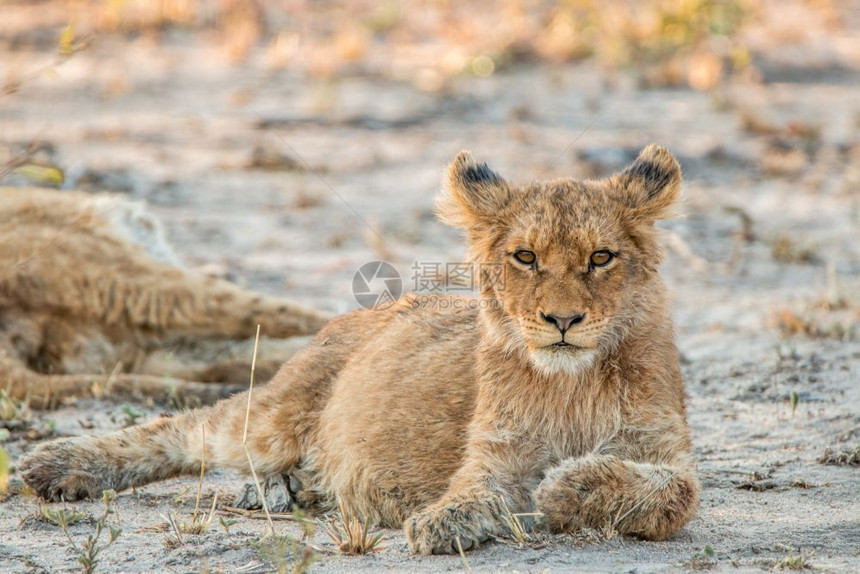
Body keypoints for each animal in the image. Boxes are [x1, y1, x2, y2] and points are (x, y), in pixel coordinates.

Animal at [18, 146, 700, 556]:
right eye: (525, 257)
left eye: (601, 258)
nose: (561, 320)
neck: (569, 381)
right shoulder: (491, 457)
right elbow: (471, 492)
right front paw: (443, 522)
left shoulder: (666, 452)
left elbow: (668, 492)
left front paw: (567, 487)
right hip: (275, 416)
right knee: (183, 431)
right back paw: (56, 465)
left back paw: (285, 492)